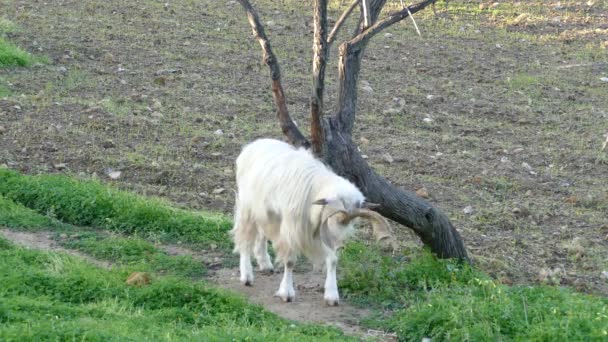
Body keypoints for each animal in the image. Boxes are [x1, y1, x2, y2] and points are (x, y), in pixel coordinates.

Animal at [230, 138, 392, 306]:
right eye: (332, 208)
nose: (340, 226)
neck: (315, 190)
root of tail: (254, 144)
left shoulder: (325, 234)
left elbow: (333, 260)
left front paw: (332, 295)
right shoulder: (292, 229)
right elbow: (290, 261)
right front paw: (287, 293)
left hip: (265, 212)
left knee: (261, 232)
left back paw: (265, 263)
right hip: (247, 206)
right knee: (244, 238)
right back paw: (247, 276)